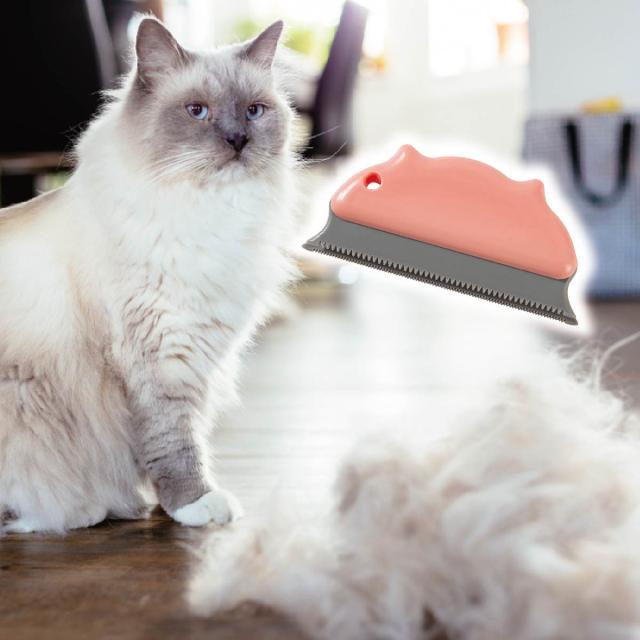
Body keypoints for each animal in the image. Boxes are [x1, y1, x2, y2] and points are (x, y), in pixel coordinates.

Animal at [0, 18, 297, 533]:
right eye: (197, 111)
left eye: (254, 112)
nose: (238, 140)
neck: (210, 211)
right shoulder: (161, 355)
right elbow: (173, 441)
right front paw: (194, 505)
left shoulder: (195, 356)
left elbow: (176, 438)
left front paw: (157, 503)